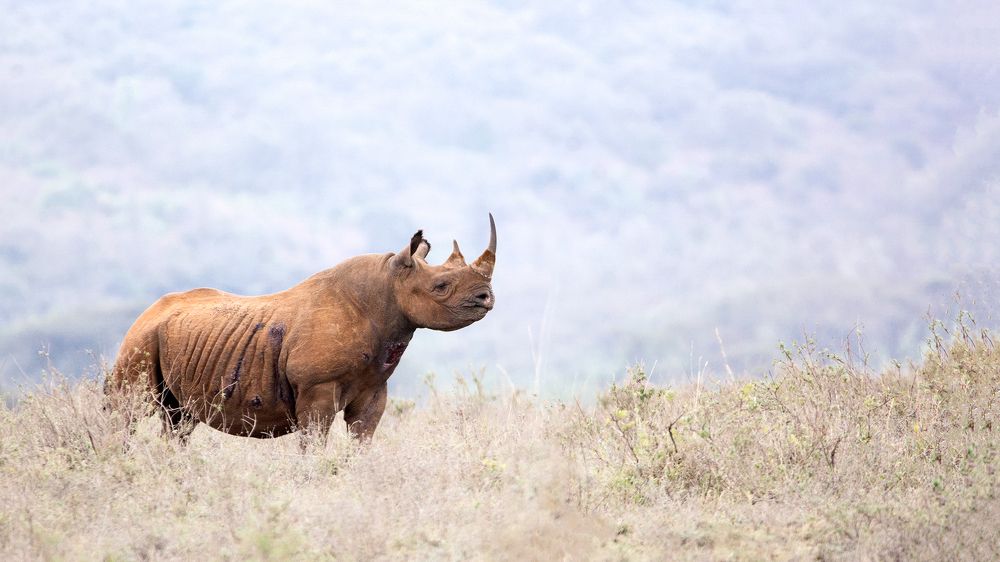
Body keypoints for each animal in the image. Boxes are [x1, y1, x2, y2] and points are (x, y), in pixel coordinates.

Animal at [107, 215, 496, 441]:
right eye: (441, 287)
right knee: (130, 411)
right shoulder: (317, 389)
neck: (385, 290)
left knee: (178, 420)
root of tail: (147, 313)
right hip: (141, 338)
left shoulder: (374, 388)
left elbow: (362, 438)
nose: (486, 297)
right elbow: (314, 441)